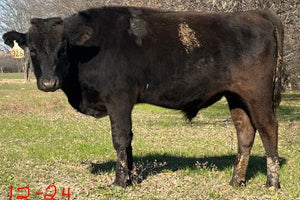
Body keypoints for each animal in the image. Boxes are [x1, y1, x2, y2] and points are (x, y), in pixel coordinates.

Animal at [2, 6, 284, 188]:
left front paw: (119, 182)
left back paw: (272, 183)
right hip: (235, 96)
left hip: (257, 94)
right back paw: (236, 181)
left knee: (268, 129)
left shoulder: (118, 98)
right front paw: (129, 177)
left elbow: (119, 138)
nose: (49, 83)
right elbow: (128, 140)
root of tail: (257, 14)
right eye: (32, 50)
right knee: (245, 133)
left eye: (62, 49)